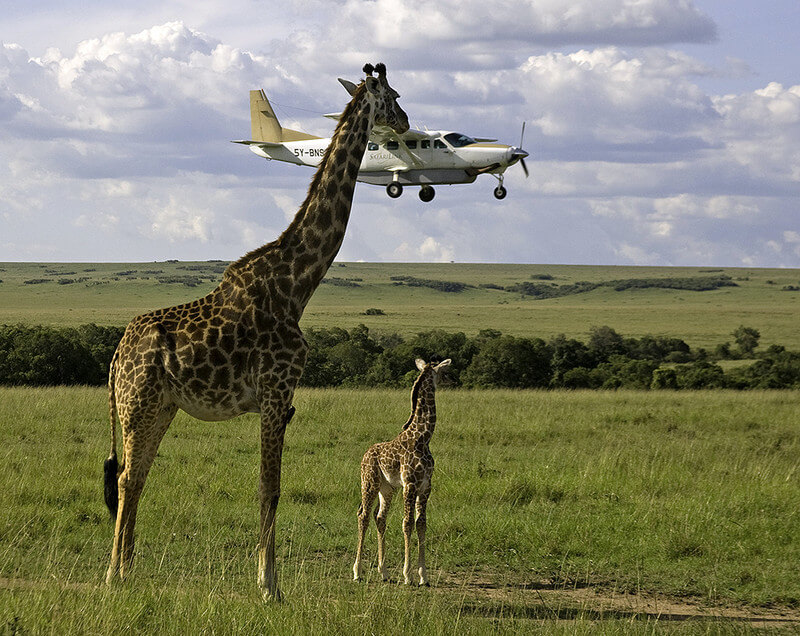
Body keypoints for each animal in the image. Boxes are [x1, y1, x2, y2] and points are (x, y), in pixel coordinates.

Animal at [103, 64, 410, 600]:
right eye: (391, 95)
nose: (407, 121)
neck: (298, 283)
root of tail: (117, 356)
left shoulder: (281, 398)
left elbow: (269, 486)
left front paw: (267, 581)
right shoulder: (275, 390)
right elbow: (271, 486)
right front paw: (270, 586)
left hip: (161, 406)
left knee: (135, 476)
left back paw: (127, 571)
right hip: (136, 403)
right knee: (125, 479)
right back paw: (113, 575)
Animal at [354, 356, 454, 584]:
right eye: (444, 371)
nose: (454, 380)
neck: (423, 438)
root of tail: (364, 455)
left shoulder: (426, 486)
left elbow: (421, 523)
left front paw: (424, 575)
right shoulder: (410, 484)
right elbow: (407, 523)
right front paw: (408, 574)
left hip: (387, 489)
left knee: (380, 518)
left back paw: (383, 572)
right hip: (369, 483)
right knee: (363, 516)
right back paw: (357, 572)